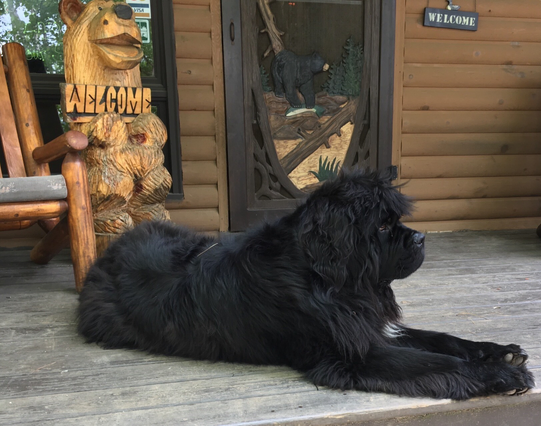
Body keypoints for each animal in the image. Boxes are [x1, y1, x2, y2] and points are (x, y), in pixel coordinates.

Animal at [78, 169, 532, 400]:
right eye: (384, 226)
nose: (421, 238)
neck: (329, 278)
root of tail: (108, 251)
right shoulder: (355, 354)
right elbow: (437, 362)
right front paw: (500, 375)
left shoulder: (373, 326)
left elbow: (443, 339)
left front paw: (499, 352)